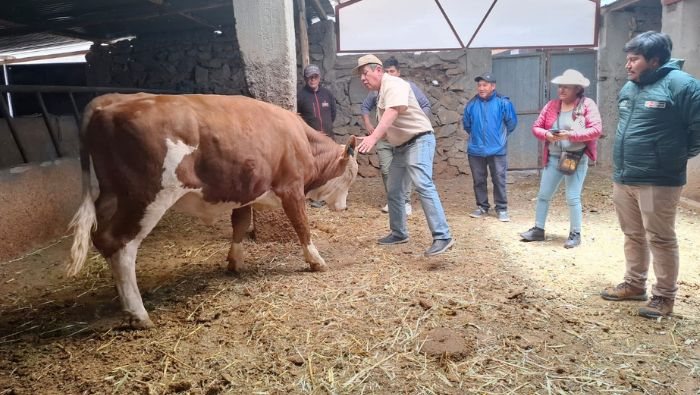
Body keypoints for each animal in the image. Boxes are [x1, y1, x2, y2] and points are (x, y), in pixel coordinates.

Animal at [68, 93, 358, 328]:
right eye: (352, 175)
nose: (344, 207)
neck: (302, 141)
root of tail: (109, 100)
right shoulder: (292, 188)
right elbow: (301, 226)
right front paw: (316, 261)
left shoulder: (247, 191)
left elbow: (240, 223)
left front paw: (235, 262)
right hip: (146, 197)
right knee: (120, 244)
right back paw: (138, 313)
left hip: (109, 196)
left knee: (100, 237)